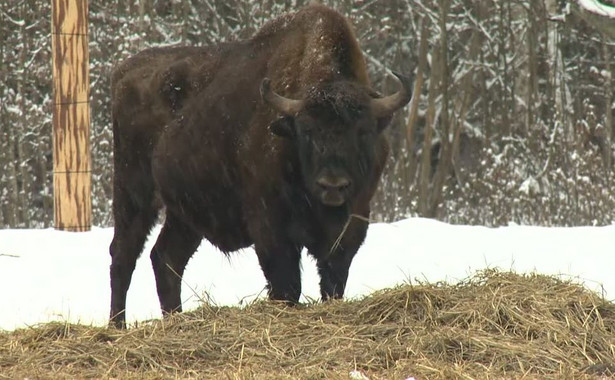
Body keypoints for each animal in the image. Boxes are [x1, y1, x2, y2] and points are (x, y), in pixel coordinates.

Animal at [109, 2, 414, 328]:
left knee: (166, 258)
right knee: (124, 255)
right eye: (306, 131)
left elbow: (332, 282)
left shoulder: (350, 229)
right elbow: (286, 286)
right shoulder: (271, 230)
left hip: (185, 214)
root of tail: (123, 74)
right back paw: (117, 326)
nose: (332, 185)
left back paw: (175, 319)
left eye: (364, 131)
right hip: (134, 191)